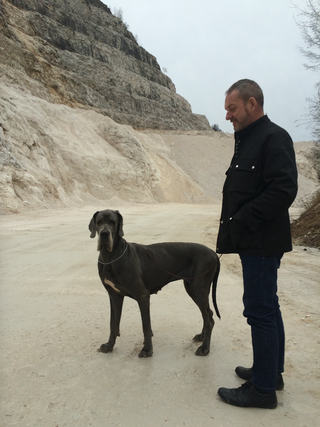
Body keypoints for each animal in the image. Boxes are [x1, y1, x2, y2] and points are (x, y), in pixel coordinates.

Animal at [89, 211, 220, 358]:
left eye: (113, 222)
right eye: (99, 222)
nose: (104, 234)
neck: (110, 257)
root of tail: (213, 253)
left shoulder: (143, 295)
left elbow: (146, 326)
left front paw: (147, 349)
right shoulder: (114, 295)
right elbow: (113, 324)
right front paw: (109, 345)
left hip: (199, 289)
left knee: (208, 319)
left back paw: (205, 348)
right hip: (192, 289)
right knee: (208, 313)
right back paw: (202, 337)